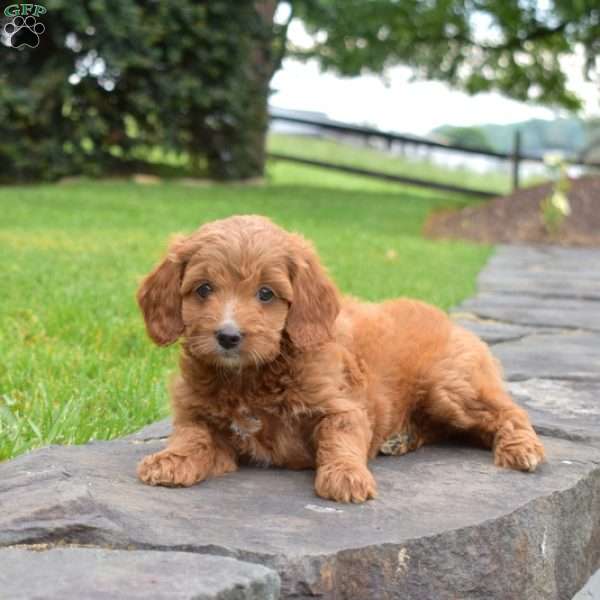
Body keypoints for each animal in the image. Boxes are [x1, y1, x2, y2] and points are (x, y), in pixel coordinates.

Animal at [135, 216, 544, 502]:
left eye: (266, 294)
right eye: (203, 289)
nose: (228, 336)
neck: (250, 376)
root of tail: (453, 322)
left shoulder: (342, 405)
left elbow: (339, 438)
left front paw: (346, 476)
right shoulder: (197, 413)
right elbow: (194, 437)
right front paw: (171, 460)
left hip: (450, 385)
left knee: (508, 412)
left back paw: (522, 448)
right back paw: (402, 439)